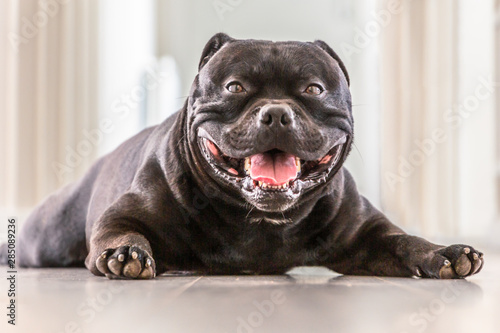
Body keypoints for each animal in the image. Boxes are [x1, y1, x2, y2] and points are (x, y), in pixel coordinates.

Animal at [0, 33, 484, 278]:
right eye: (235, 87)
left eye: (313, 89)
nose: (276, 114)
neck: (258, 221)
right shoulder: (122, 215)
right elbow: (123, 231)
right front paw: (127, 255)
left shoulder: (367, 235)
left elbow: (404, 240)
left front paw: (442, 253)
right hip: (48, 235)